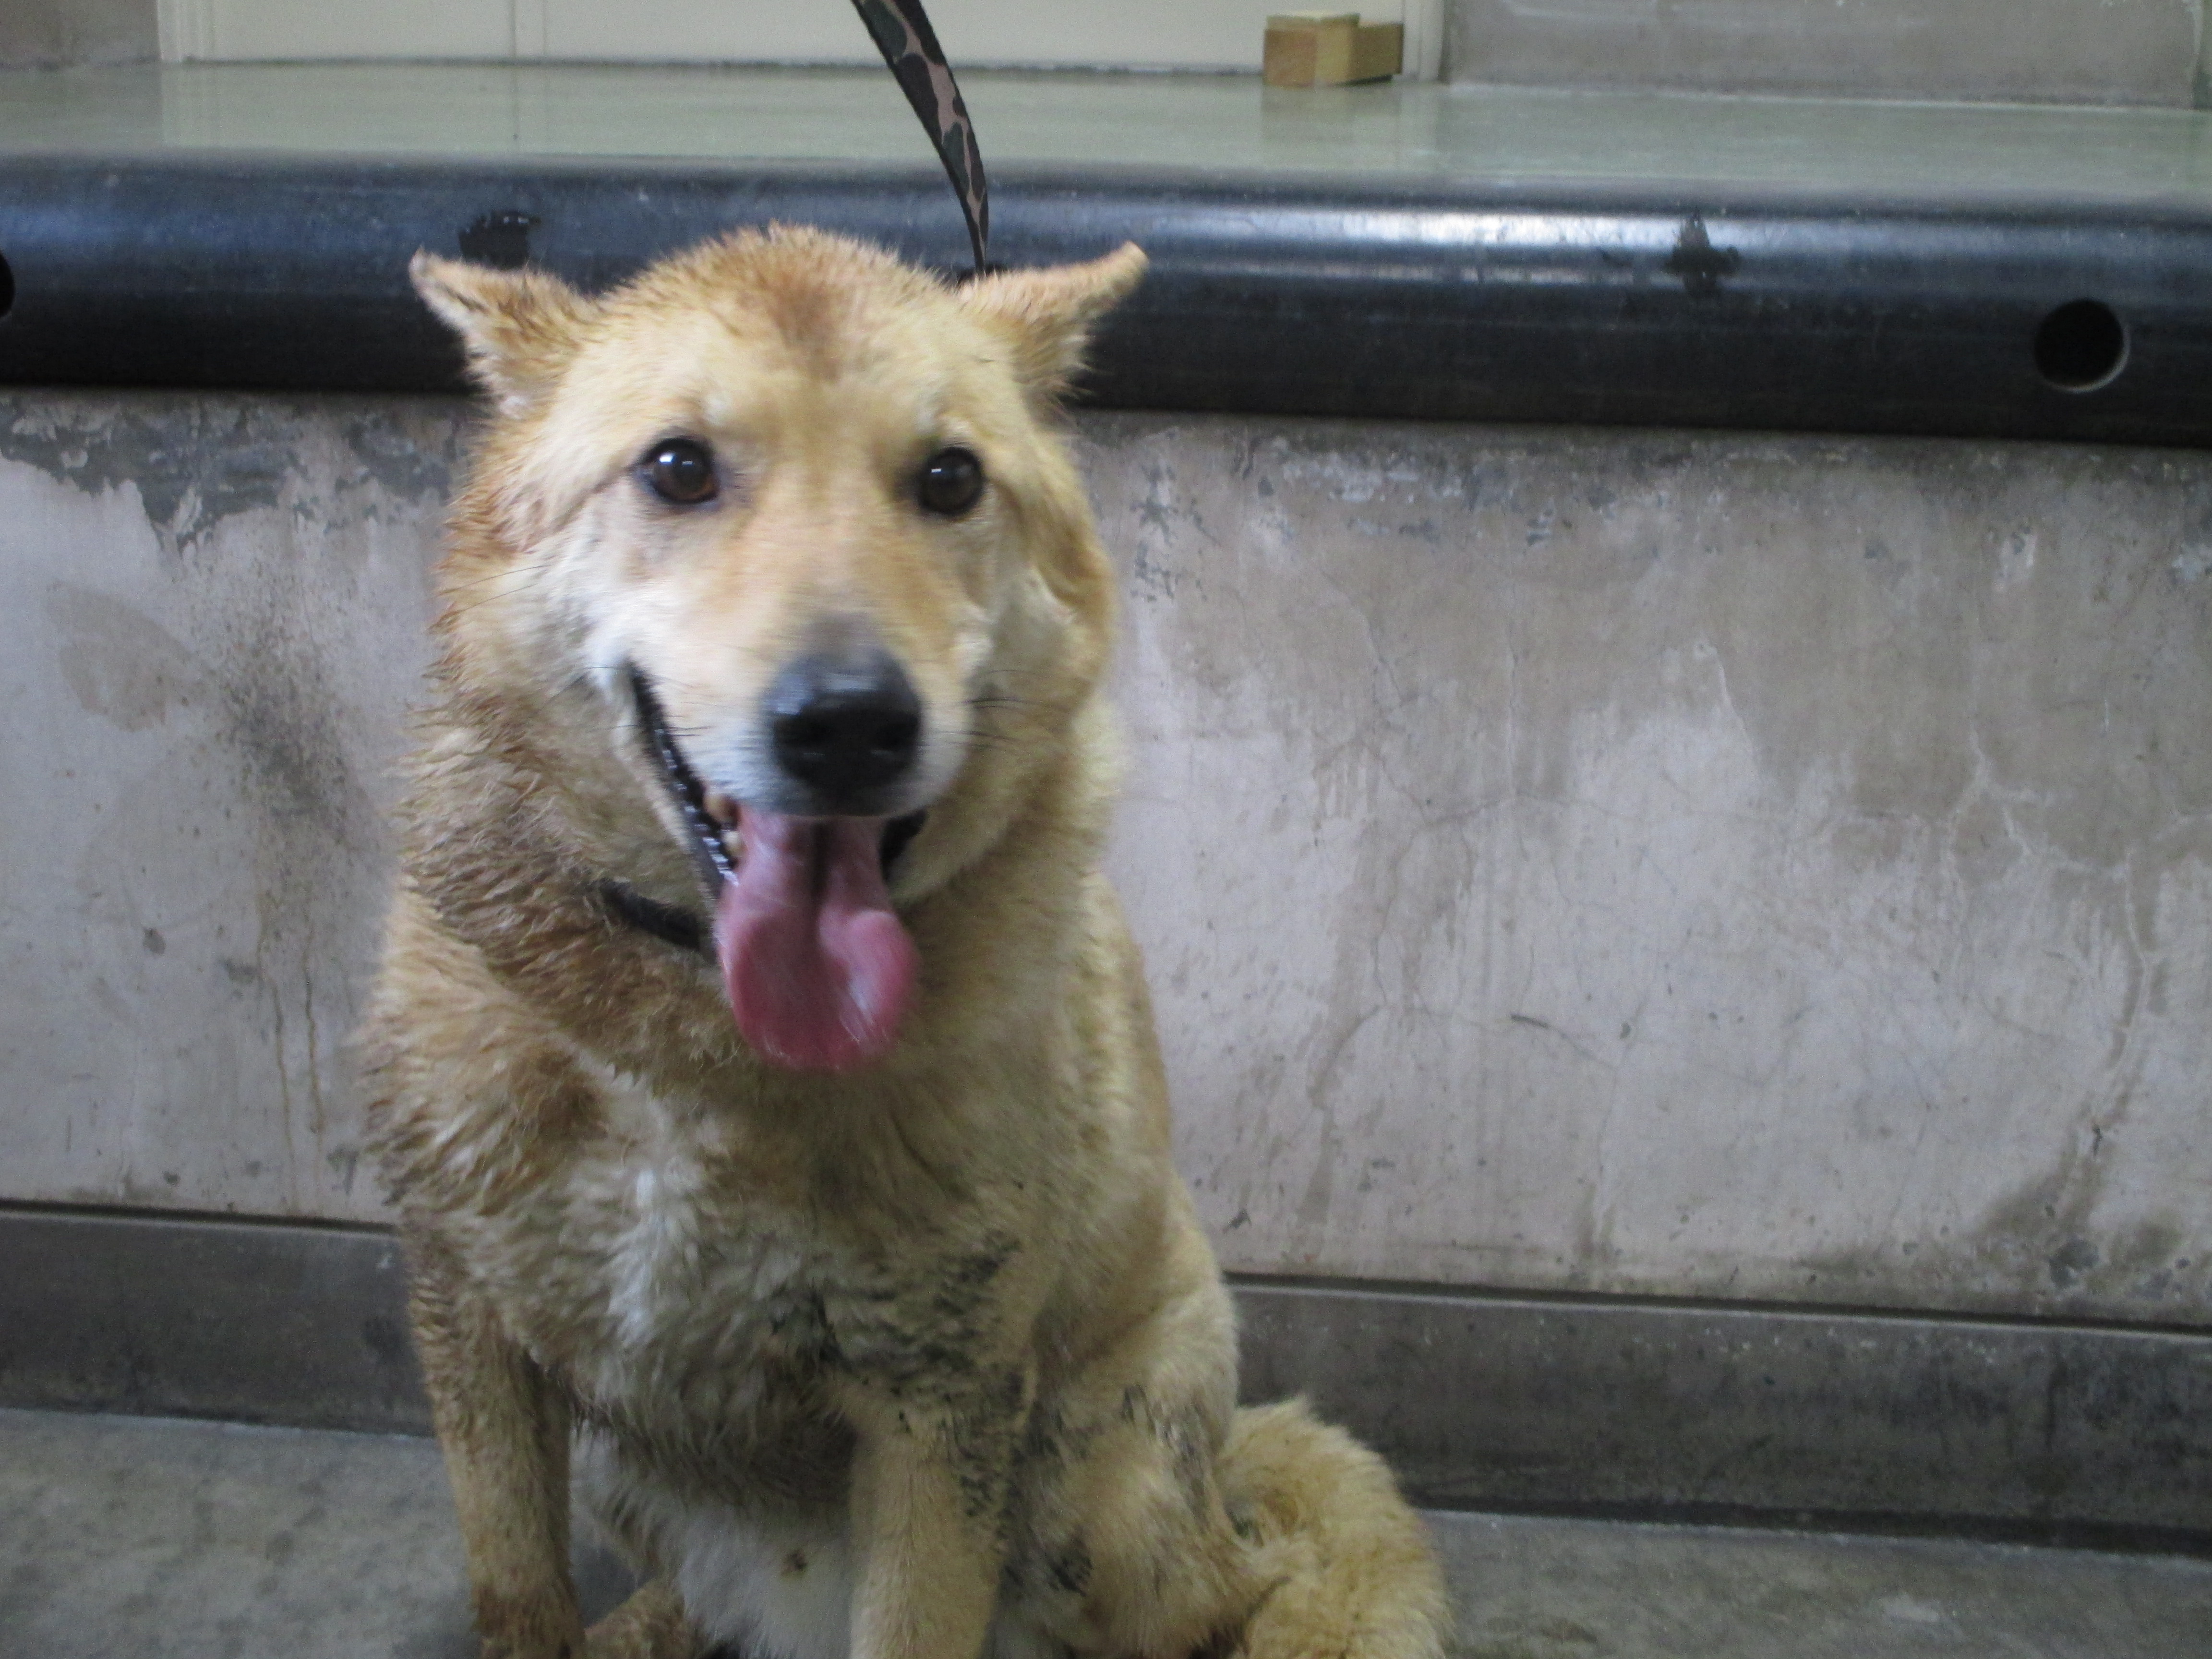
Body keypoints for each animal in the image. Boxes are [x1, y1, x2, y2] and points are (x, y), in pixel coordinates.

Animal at [367, 224, 1451, 1659]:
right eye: (677, 467)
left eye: (950, 478)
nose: (847, 723)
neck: (696, 1041)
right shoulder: (474, 1333)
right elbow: (519, 1599)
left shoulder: (941, 1400)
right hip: (623, 1460)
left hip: (1092, 1500)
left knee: (1245, 1591)